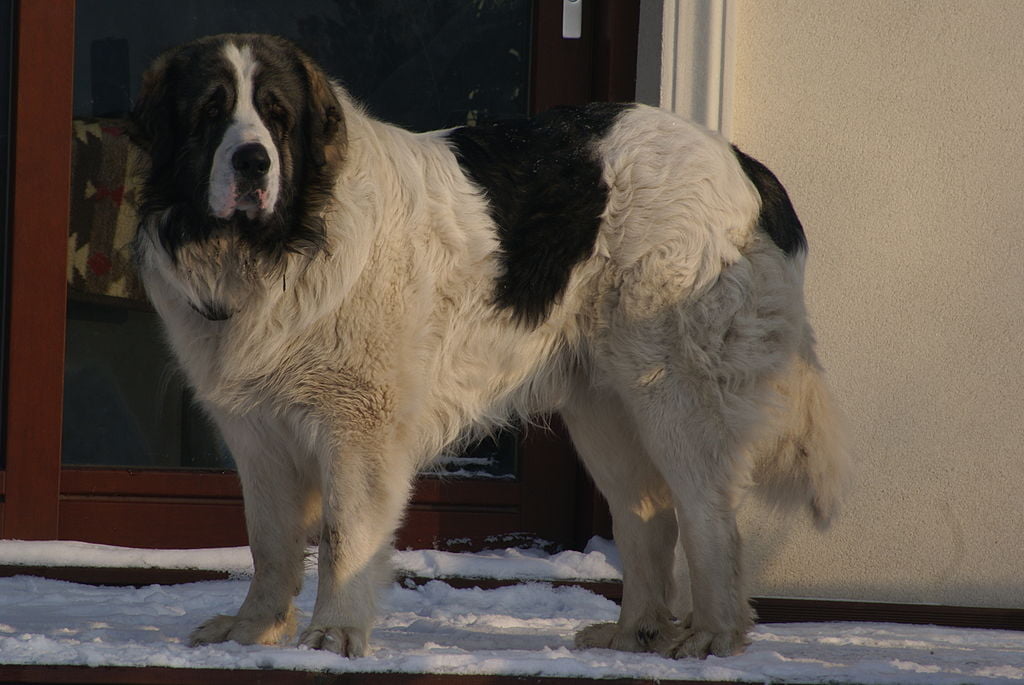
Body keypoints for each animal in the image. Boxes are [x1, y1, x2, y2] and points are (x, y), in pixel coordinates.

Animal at [128, 34, 847, 659]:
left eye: (277, 117)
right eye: (210, 113)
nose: (252, 161)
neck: (281, 247)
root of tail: (739, 159)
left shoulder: (359, 426)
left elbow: (343, 535)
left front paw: (333, 635)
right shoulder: (258, 432)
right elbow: (269, 542)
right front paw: (254, 631)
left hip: (673, 391)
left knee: (707, 513)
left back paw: (712, 635)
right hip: (605, 410)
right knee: (648, 512)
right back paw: (633, 633)